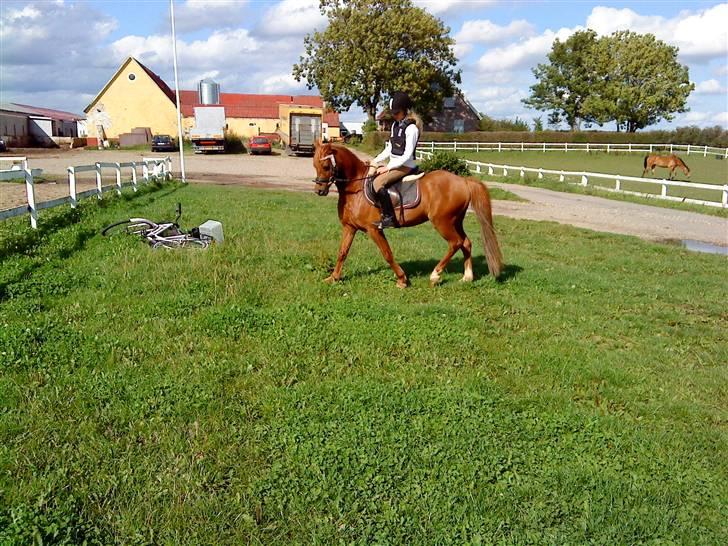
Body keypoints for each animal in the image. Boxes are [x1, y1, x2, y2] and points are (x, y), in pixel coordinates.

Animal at [310, 142, 504, 286]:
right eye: (315, 165)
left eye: (326, 166)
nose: (319, 190)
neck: (355, 187)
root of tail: (463, 181)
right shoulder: (350, 227)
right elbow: (342, 252)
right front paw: (333, 278)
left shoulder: (374, 230)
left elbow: (387, 253)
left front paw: (402, 280)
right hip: (455, 221)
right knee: (466, 243)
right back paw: (467, 277)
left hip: (443, 222)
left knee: (455, 243)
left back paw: (435, 275)